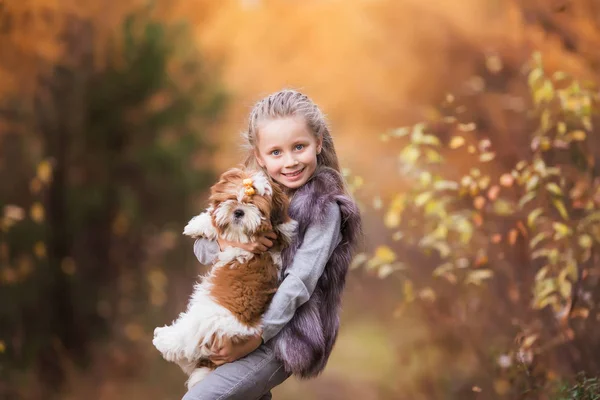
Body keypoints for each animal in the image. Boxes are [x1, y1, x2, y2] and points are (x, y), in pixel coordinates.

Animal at [152, 167, 298, 390]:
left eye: (255, 205)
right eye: (232, 198)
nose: (238, 211)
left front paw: (198, 224)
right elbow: (217, 219)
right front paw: (199, 223)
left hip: (209, 319)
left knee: (186, 339)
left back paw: (164, 338)